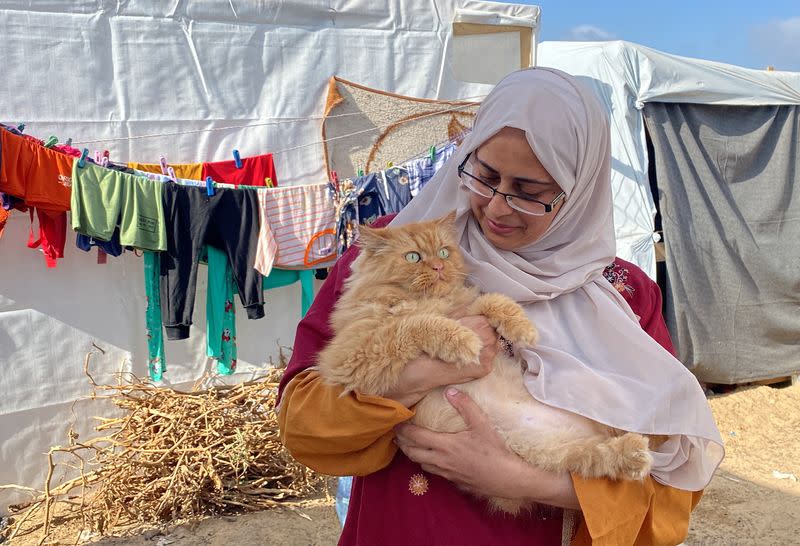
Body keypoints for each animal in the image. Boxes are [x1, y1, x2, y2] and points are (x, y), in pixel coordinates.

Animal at [316, 210, 652, 512]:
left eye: (443, 252)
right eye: (413, 257)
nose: (438, 266)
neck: (428, 300)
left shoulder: (466, 305)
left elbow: (492, 300)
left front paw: (522, 327)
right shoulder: (351, 355)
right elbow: (416, 324)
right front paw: (462, 341)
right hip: (547, 450)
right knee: (597, 456)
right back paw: (636, 454)